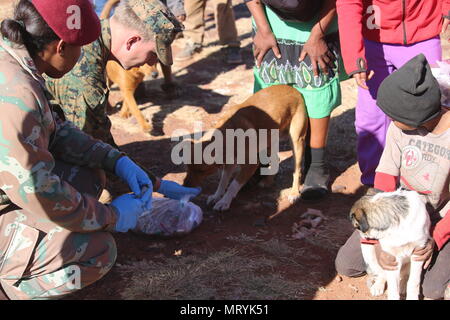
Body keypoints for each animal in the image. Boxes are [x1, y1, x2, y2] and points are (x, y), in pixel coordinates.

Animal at [183, 84, 310, 212]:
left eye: (202, 171)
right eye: (188, 167)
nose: (185, 185)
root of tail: (292, 89)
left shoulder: (251, 164)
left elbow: (233, 185)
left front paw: (224, 201)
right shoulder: (229, 164)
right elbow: (223, 182)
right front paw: (216, 196)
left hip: (296, 141)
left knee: (297, 170)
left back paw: (294, 193)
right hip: (269, 141)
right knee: (276, 159)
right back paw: (267, 181)